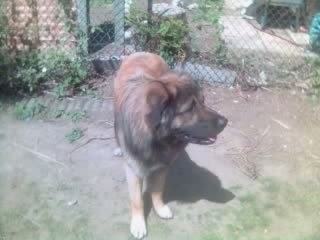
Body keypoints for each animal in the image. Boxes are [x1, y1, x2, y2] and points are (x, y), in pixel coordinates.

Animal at [112, 51, 228, 239]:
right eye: (190, 108)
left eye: (203, 101)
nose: (225, 122)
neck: (156, 139)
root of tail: (141, 52)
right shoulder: (134, 170)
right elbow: (137, 200)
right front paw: (138, 223)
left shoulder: (162, 167)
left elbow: (157, 191)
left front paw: (159, 209)